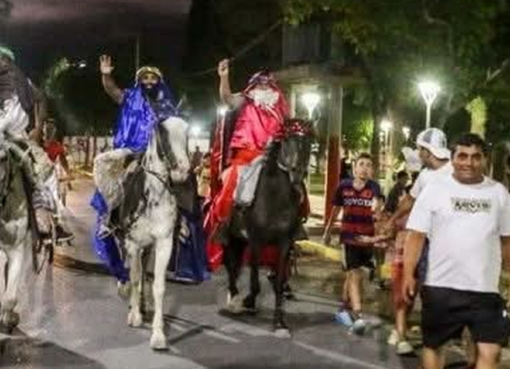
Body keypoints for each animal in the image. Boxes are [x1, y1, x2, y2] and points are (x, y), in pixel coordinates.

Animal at [115, 116, 189, 350]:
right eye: (162, 132)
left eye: (187, 133)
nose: (182, 170)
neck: (152, 196)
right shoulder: (132, 243)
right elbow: (134, 277)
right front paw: (135, 317)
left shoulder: (164, 242)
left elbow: (158, 286)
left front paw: (158, 334)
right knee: (130, 270)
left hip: (148, 247)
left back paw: (143, 304)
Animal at [222, 118, 312, 336]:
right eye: (287, 140)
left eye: (309, 143)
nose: (297, 174)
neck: (275, 197)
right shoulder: (256, 240)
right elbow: (255, 281)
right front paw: (247, 302)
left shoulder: (284, 243)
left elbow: (278, 282)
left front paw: (280, 323)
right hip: (230, 235)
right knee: (229, 263)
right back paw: (234, 299)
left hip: (242, 240)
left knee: (235, 263)